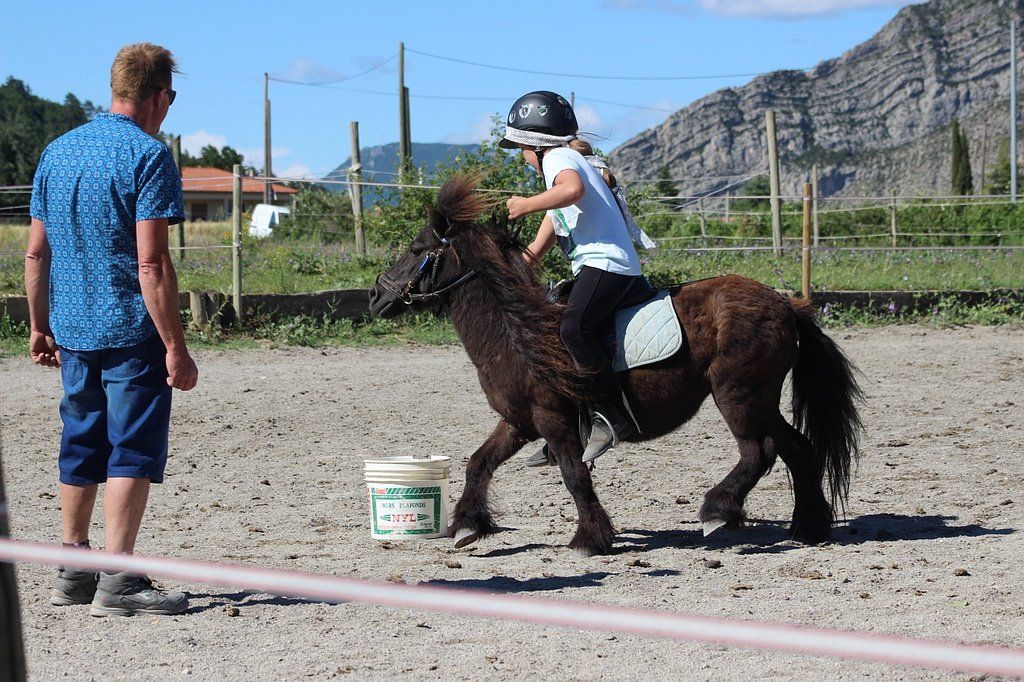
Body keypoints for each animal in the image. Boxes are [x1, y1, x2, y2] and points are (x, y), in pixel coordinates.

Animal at [368, 175, 863, 557]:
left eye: (415, 248)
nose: (375, 295)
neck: (513, 332)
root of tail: (786, 304)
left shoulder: (554, 420)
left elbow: (574, 476)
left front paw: (590, 538)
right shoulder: (519, 420)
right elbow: (479, 462)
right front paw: (469, 524)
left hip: (737, 394)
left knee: (759, 450)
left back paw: (717, 511)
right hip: (762, 398)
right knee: (798, 448)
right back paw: (809, 527)